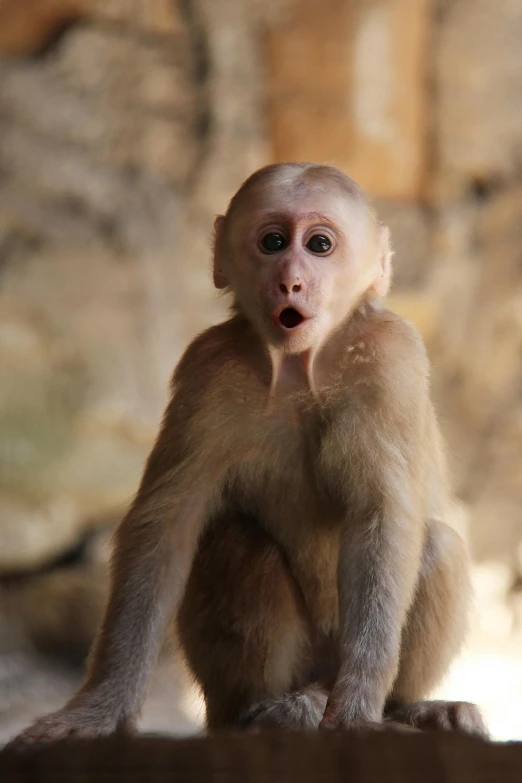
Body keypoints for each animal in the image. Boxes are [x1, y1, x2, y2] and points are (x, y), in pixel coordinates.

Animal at [10, 162, 486, 744]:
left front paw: (358, 708)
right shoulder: (206, 370)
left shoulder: (391, 356)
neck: (301, 368)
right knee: (232, 539)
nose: (290, 280)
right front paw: (100, 706)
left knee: (436, 543)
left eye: (320, 245)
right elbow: (165, 527)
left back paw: (405, 708)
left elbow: (382, 518)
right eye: (273, 242)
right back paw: (269, 711)